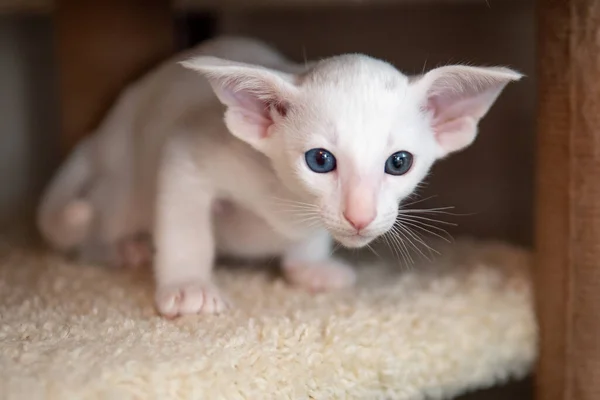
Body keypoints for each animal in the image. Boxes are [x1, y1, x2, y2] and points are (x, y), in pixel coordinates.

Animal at [37, 36, 524, 318]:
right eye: (321, 161)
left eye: (399, 163)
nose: (360, 216)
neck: (286, 204)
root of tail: (105, 131)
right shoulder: (188, 151)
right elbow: (187, 227)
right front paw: (188, 286)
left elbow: (309, 241)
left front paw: (309, 266)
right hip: (126, 182)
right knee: (97, 225)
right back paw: (121, 248)